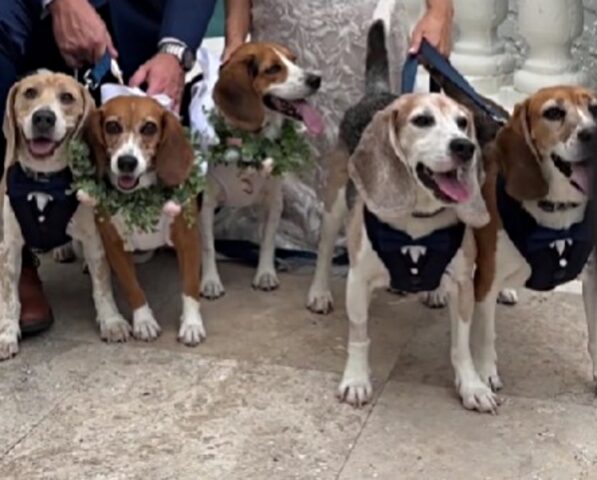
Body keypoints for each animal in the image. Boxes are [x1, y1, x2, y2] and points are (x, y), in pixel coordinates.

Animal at [1, 70, 128, 356]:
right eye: (30, 93)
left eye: (67, 97)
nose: (43, 117)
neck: (44, 181)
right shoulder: (9, 246)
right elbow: (9, 296)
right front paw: (6, 333)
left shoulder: (94, 240)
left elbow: (102, 286)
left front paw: (111, 321)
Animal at [84, 96, 205, 344]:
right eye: (112, 126)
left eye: (149, 127)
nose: (126, 162)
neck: (141, 197)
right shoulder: (115, 246)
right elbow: (133, 288)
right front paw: (144, 321)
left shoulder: (188, 241)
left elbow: (189, 287)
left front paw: (191, 324)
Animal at [199, 41, 322, 298]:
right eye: (273, 69)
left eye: (293, 59)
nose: (316, 79)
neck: (249, 143)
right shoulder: (206, 204)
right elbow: (207, 246)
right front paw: (210, 281)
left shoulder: (274, 201)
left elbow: (267, 240)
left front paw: (265, 274)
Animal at [332, 19, 492, 408]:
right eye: (422, 120)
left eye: (462, 123)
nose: (464, 147)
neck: (418, 219)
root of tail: (377, 94)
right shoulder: (357, 281)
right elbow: (359, 338)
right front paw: (356, 380)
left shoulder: (463, 284)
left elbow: (461, 346)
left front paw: (472, 385)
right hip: (334, 203)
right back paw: (317, 294)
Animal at [468, 85, 592, 408]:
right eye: (553, 113)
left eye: (595, 108)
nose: (593, 132)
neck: (557, 208)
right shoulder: (486, 279)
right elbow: (485, 334)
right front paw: (485, 373)